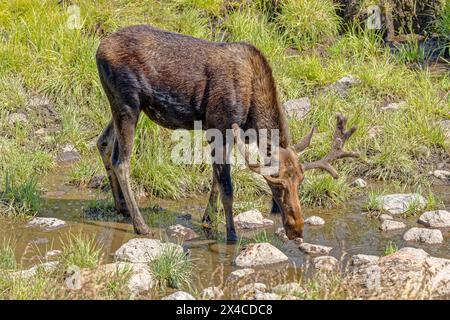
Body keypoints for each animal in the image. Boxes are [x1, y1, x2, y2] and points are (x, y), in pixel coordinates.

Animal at [96, 25, 358, 242]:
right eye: (276, 183)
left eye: (300, 181)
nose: (297, 229)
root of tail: (98, 50)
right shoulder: (219, 126)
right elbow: (228, 188)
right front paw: (231, 233)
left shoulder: (225, 132)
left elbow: (215, 179)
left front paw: (208, 220)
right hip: (128, 102)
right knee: (122, 161)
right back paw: (141, 225)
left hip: (124, 105)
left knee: (103, 142)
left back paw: (121, 207)